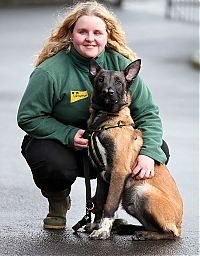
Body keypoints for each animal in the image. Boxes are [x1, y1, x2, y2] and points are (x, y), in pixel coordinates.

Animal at [86, 59, 183, 240]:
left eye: (118, 82)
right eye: (101, 79)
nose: (108, 92)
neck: (106, 120)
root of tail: (179, 224)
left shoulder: (119, 171)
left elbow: (109, 204)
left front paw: (103, 230)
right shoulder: (102, 176)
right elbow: (100, 202)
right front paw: (97, 225)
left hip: (141, 192)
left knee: (170, 233)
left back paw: (145, 234)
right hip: (130, 199)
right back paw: (131, 229)